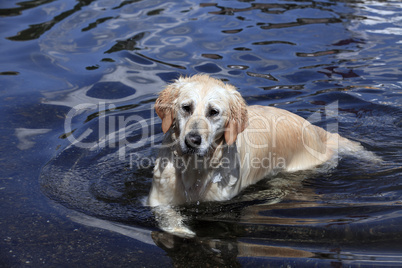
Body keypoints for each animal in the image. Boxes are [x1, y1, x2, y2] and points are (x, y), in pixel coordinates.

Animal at [148, 75, 368, 207]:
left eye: (213, 112)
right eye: (186, 107)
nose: (192, 140)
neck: (194, 168)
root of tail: (314, 131)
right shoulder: (158, 200)